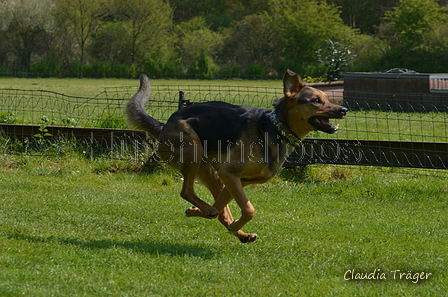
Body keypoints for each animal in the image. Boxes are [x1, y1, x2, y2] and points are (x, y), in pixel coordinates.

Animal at [124, 70, 348, 243]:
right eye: (316, 101)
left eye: (328, 99)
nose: (344, 109)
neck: (275, 128)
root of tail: (164, 126)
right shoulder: (230, 173)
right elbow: (249, 209)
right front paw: (228, 222)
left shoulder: (239, 180)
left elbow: (228, 208)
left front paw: (210, 217)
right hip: (193, 150)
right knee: (187, 191)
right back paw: (214, 215)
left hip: (212, 174)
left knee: (220, 211)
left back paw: (232, 228)